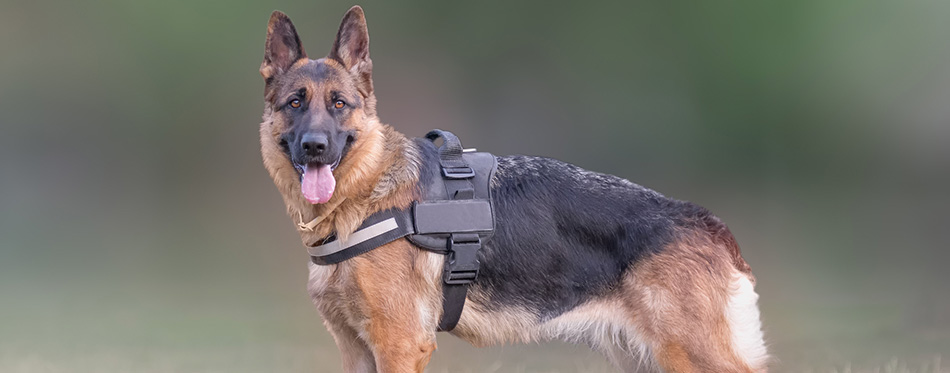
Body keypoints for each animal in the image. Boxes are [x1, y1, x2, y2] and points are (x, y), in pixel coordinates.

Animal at [256, 6, 768, 372]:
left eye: (339, 104)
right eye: (295, 103)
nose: (315, 147)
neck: (362, 198)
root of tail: (708, 223)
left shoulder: (400, 345)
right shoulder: (357, 350)